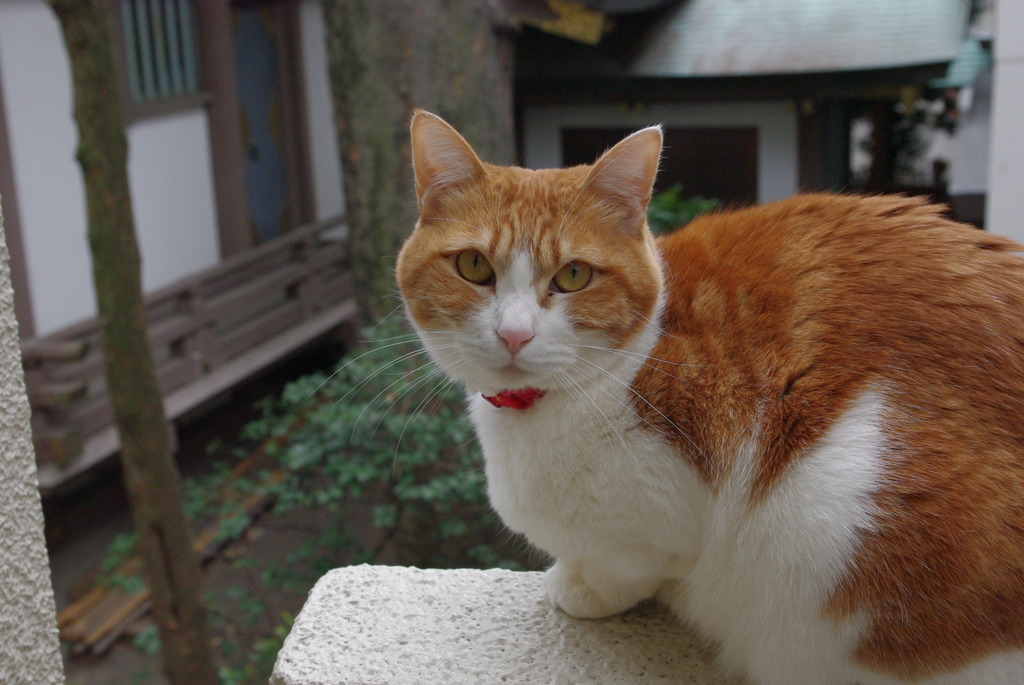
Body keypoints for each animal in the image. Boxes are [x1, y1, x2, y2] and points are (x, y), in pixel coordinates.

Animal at [395, 109, 1024, 679]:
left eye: (574, 276)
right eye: (474, 266)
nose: (514, 334)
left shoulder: (666, 513)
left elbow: (630, 567)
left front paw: (584, 589)